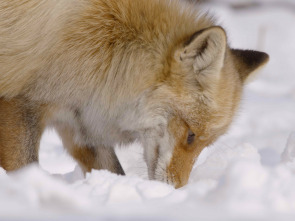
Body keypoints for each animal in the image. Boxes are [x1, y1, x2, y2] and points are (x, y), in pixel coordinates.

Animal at [0, 0, 270, 187]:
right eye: (191, 135)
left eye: (206, 144)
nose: (177, 190)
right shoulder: (20, 102)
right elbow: (23, 167)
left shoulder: (79, 120)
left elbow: (113, 171)